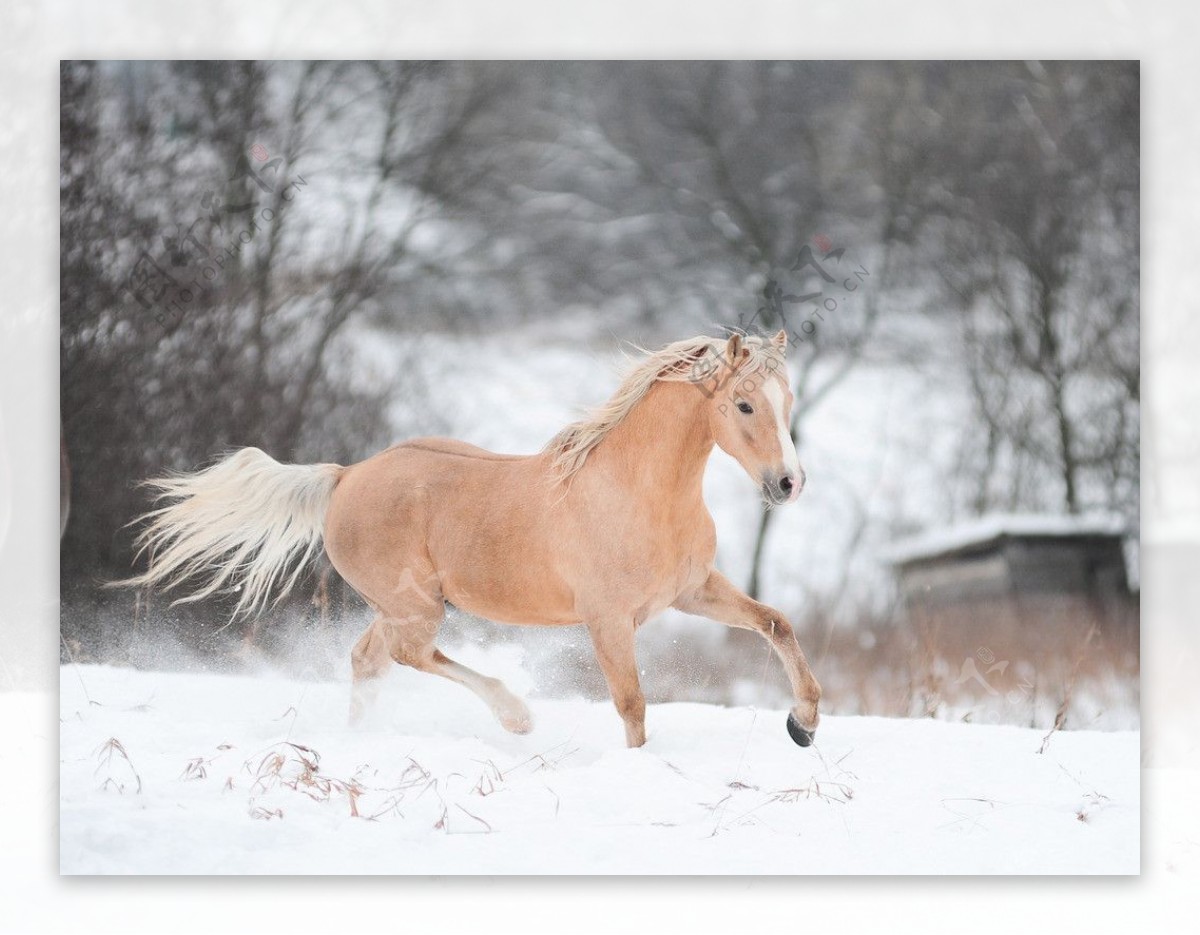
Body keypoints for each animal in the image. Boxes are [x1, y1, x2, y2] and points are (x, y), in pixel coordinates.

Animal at [124, 333, 816, 748]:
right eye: (745, 405)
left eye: (787, 400)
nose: (788, 484)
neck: (637, 492)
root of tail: (345, 476)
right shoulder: (608, 619)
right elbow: (632, 704)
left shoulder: (692, 592)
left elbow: (776, 623)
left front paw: (803, 724)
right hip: (417, 606)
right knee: (407, 656)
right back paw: (515, 715)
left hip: (398, 607)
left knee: (368, 660)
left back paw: (361, 742)